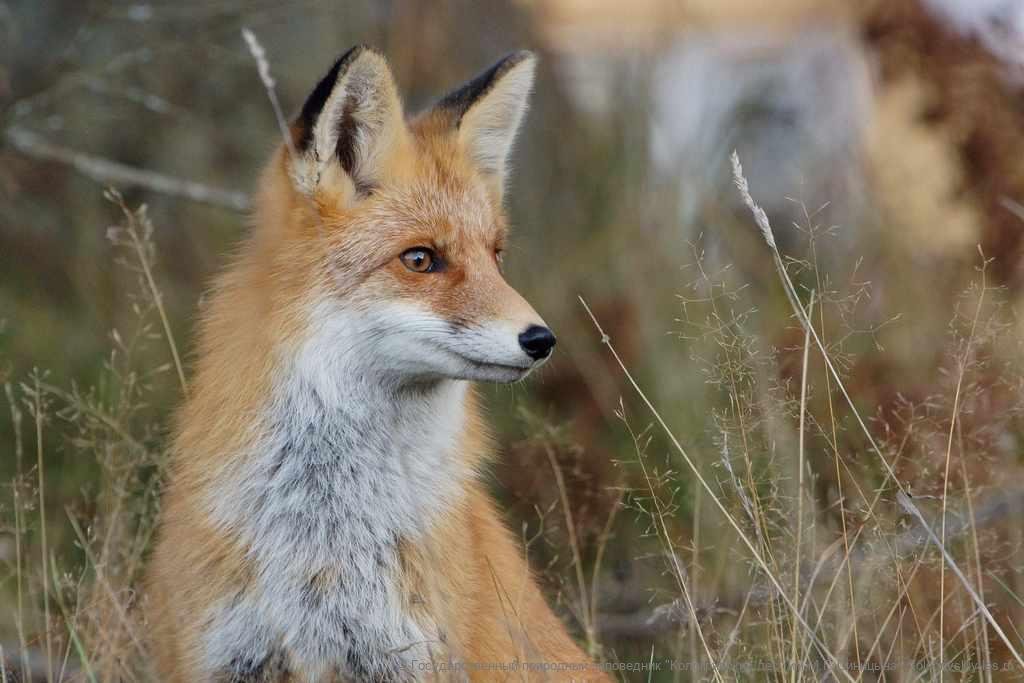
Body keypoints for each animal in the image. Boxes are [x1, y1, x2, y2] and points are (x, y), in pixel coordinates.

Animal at [143, 45, 606, 679]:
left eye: (496, 256)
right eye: (420, 259)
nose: (541, 340)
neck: (325, 530)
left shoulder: (405, 655)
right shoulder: (222, 653)